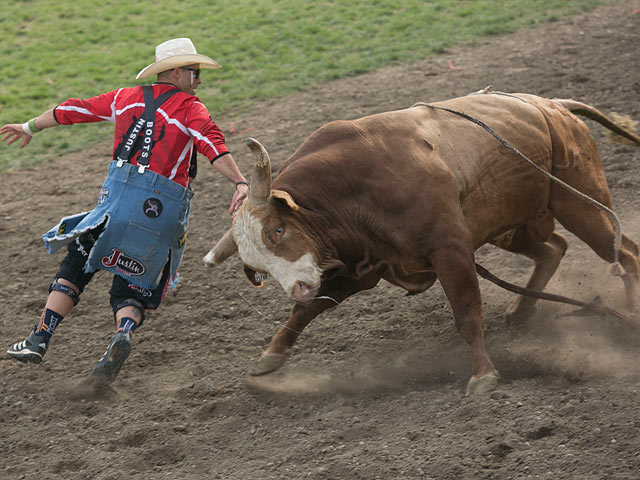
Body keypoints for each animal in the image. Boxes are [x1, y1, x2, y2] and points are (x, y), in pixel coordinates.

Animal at [204, 91, 640, 394]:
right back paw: (522, 311)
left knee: (624, 254)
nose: (296, 286)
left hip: (581, 202)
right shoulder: (362, 267)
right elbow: (307, 311)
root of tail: (554, 105)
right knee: (554, 248)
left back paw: (629, 314)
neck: (353, 190)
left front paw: (483, 375)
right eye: (257, 268)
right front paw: (270, 356)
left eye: (277, 231)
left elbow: (467, 314)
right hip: (513, 225)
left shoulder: (450, 249)